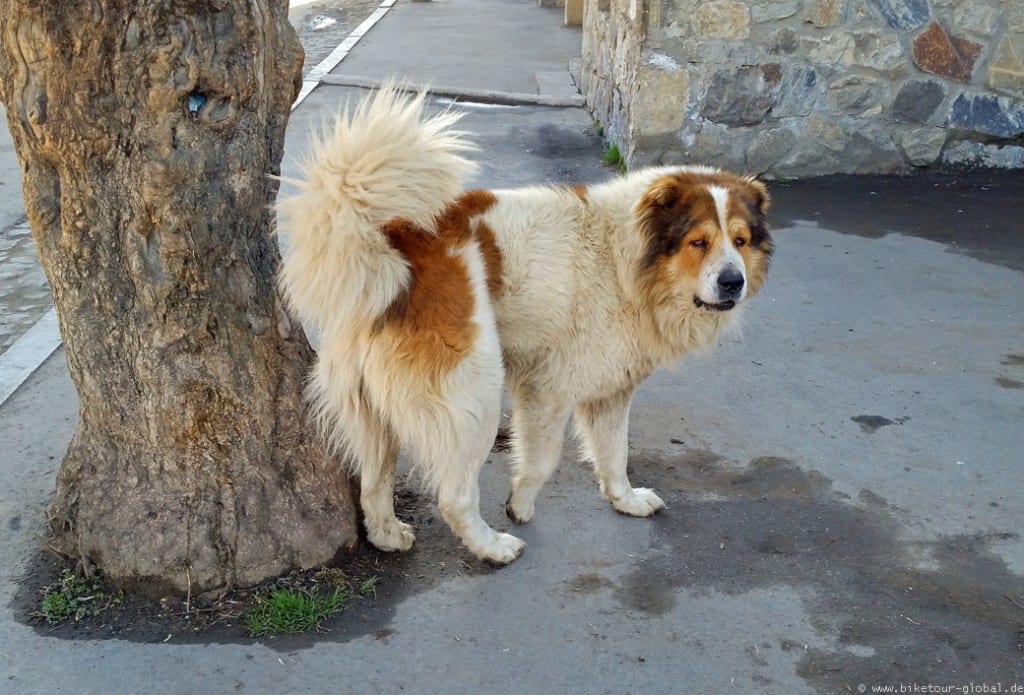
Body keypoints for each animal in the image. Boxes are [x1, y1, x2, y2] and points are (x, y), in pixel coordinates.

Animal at [276, 85, 770, 565]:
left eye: (740, 241)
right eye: (698, 242)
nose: (733, 282)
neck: (622, 259)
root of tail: (396, 244)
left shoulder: (612, 389)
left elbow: (615, 454)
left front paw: (625, 500)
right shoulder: (548, 388)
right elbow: (544, 459)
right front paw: (521, 505)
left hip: (372, 407)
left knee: (374, 479)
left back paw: (387, 535)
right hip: (474, 394)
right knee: (454, 496)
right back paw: (492, 547)